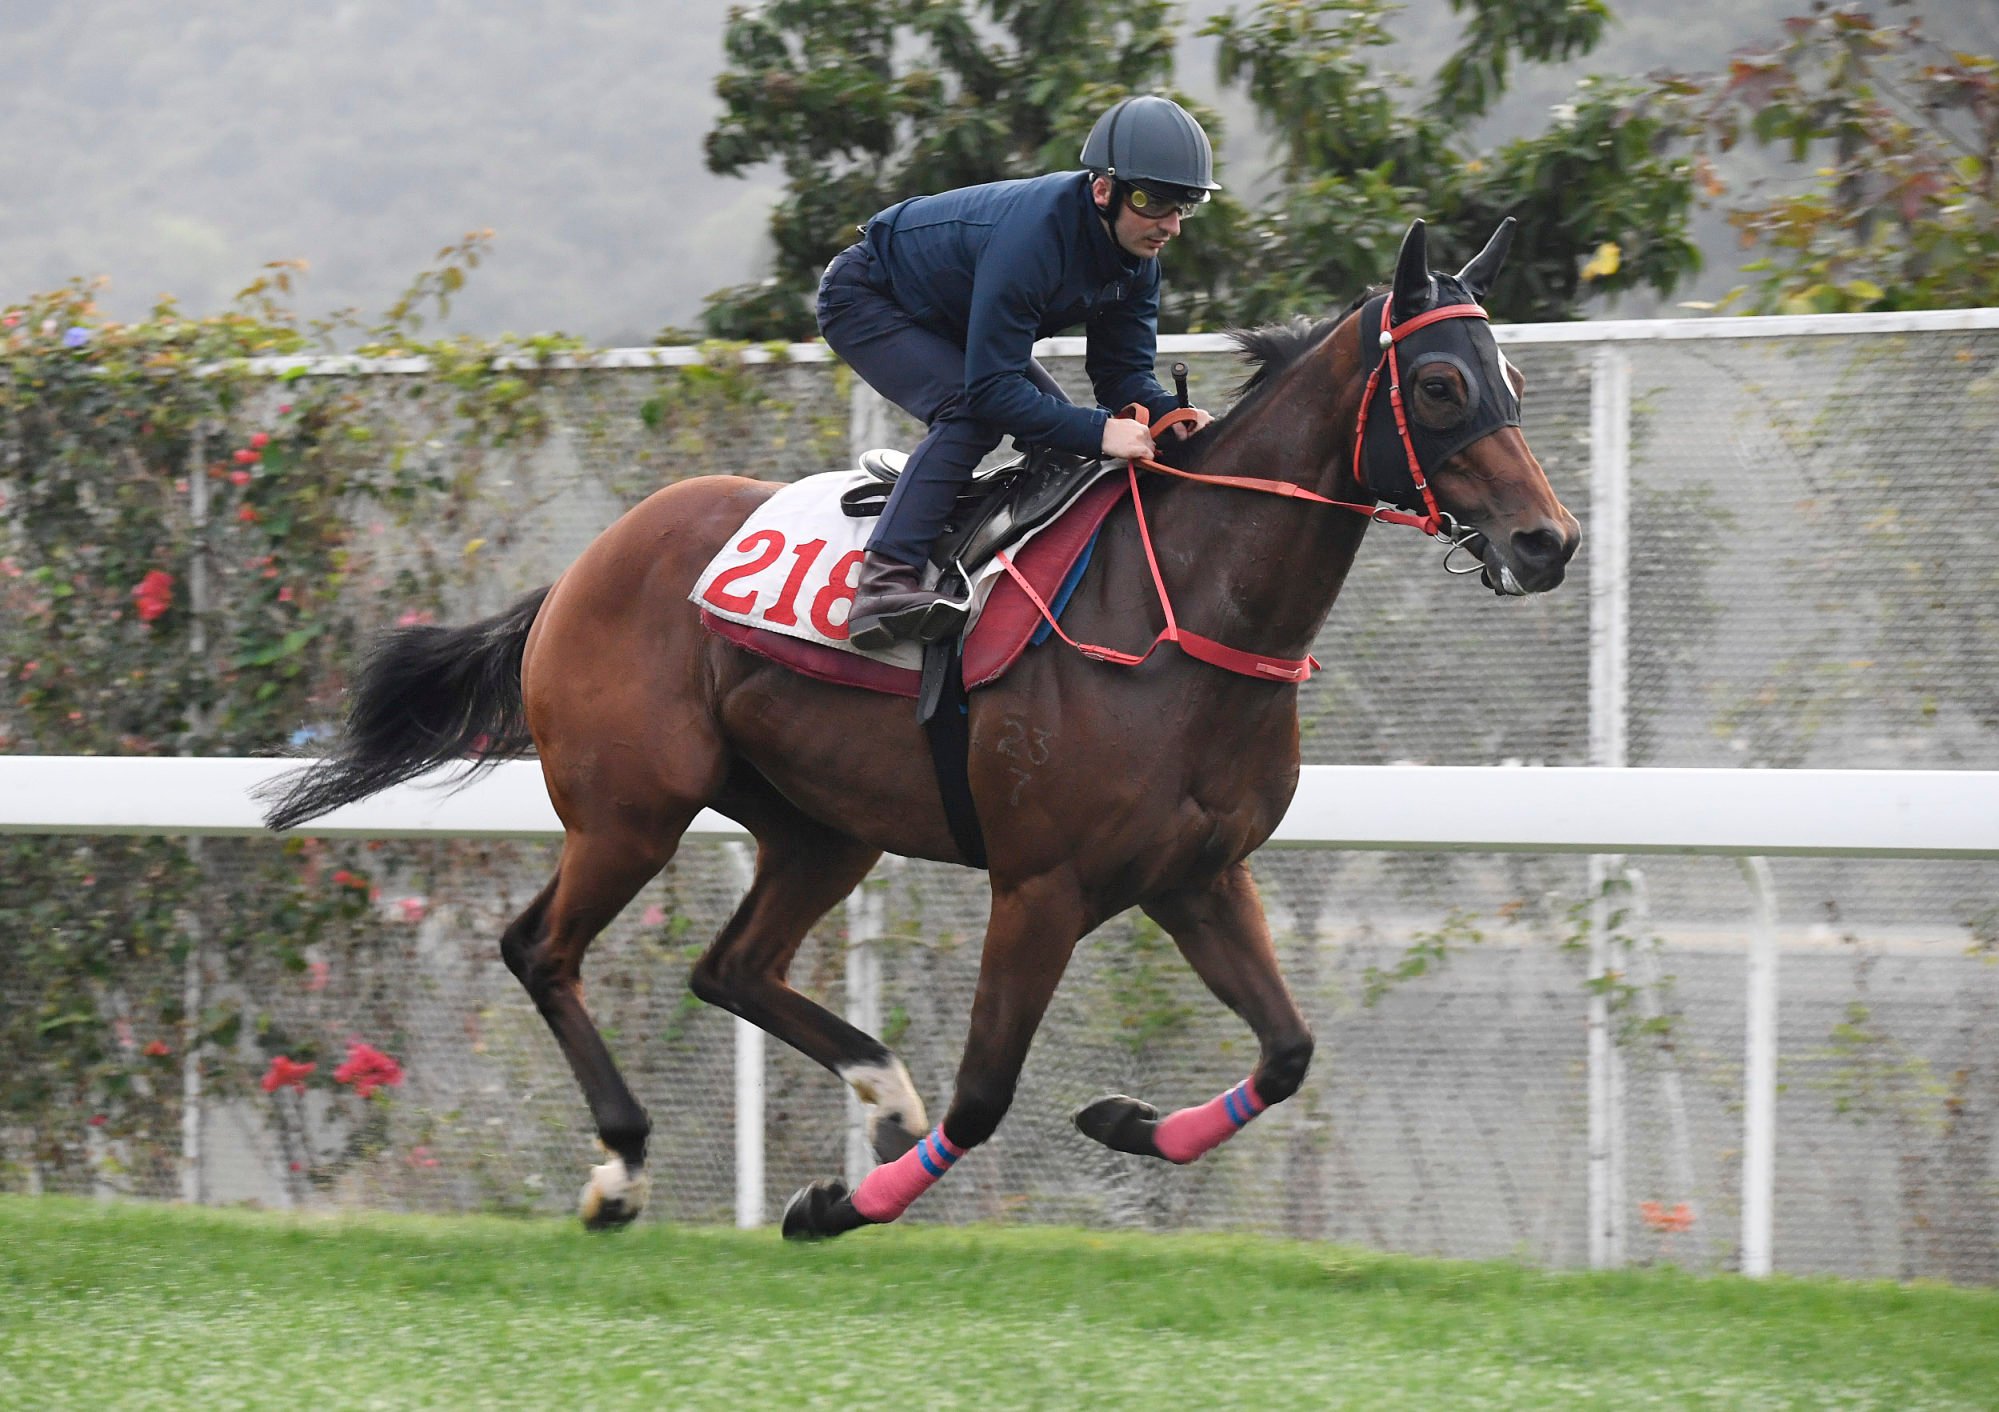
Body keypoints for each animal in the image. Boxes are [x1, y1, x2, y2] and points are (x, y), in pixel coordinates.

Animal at [261, 217, 1575, 1232]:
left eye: (1512, 382)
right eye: (1440, 385)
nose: (1546, 541)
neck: (1182, 616)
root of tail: (584, 564)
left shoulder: (1197, 874)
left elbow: (1289, 1049)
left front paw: (1123, 1118)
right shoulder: (1041, 885)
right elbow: (985, 1094)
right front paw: (835, 1205)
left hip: (820, 826)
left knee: (727, 963)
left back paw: (876, 1086)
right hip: (632, 809)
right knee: (541, 948)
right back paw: (623, 1165)